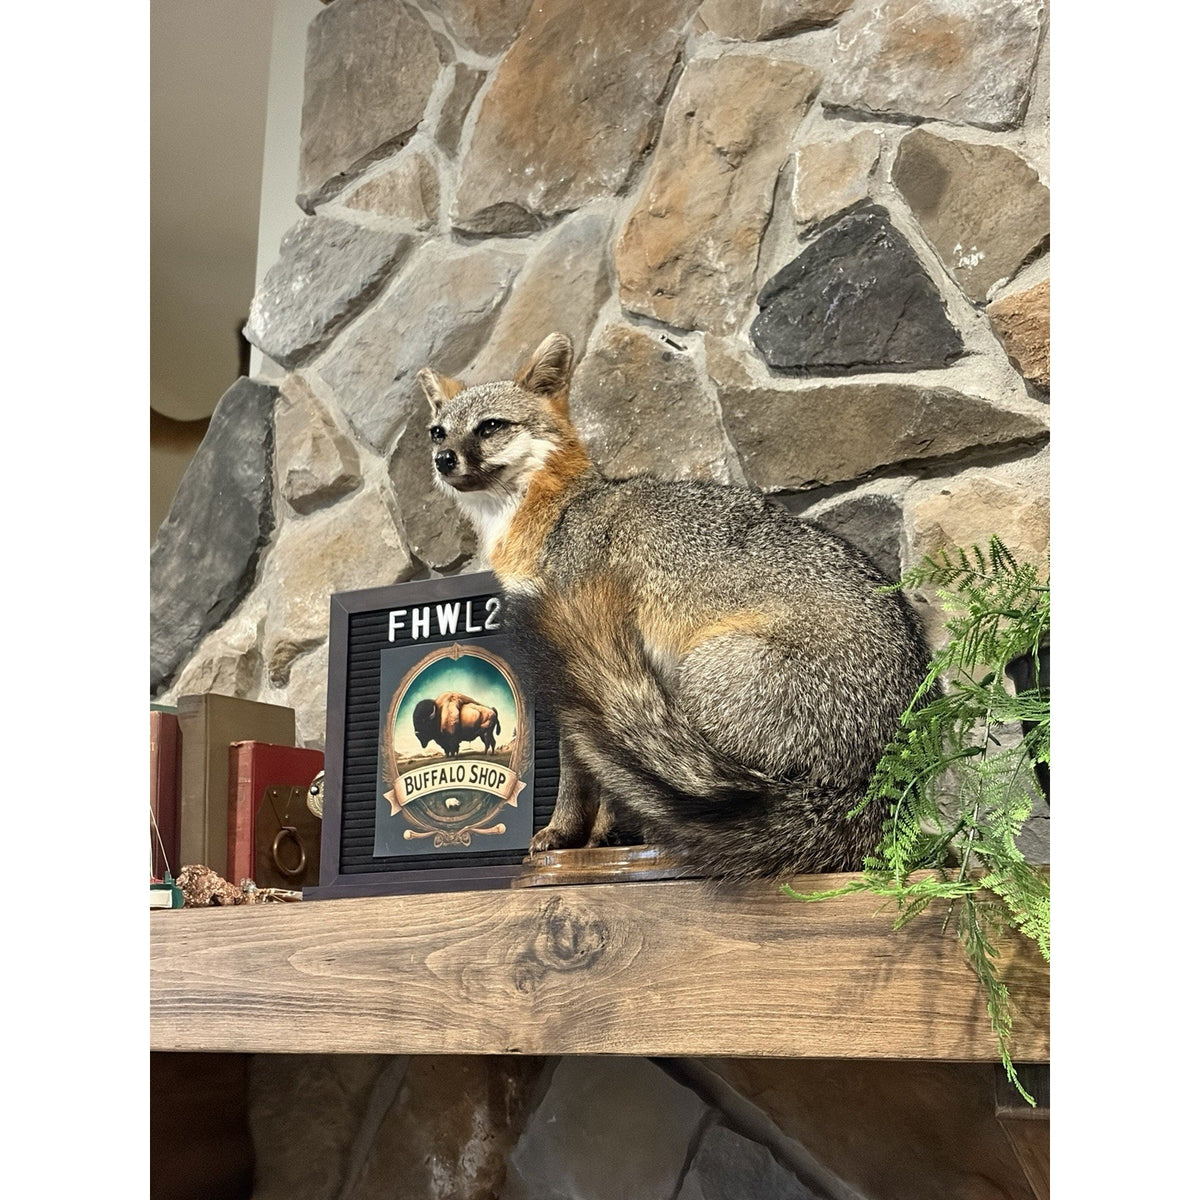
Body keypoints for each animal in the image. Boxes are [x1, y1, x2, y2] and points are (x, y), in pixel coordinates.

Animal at [416, 332, 933, 880]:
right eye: (437, 432)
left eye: (490, 427)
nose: (444, 459)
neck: (555, 514)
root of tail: (875, 784)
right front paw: (597, 839)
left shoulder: (569, 649)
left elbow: (579, 771)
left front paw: (563, 834)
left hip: (697, 674)